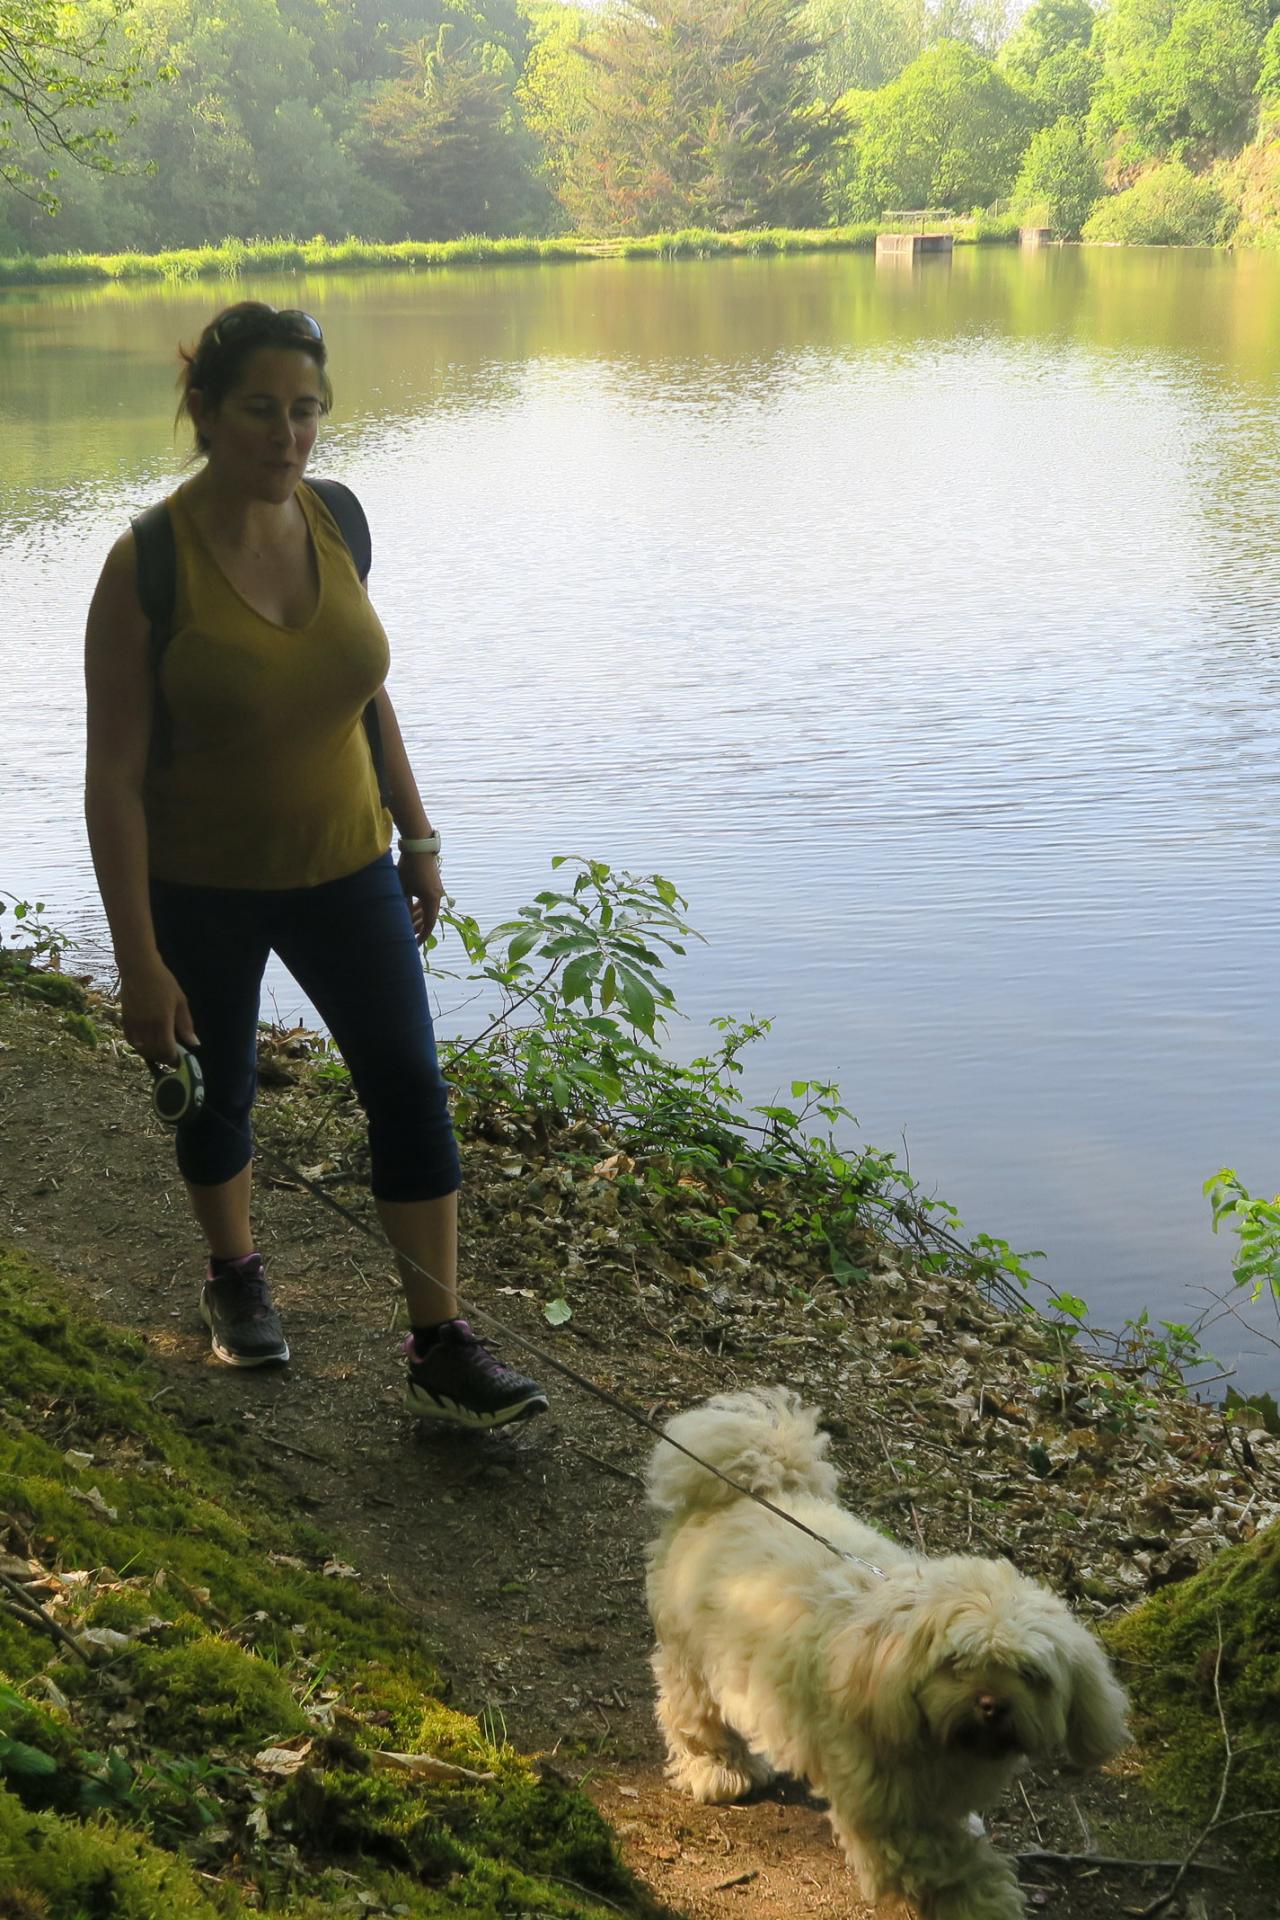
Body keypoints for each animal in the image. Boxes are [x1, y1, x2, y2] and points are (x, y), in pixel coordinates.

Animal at [644, 1397, 1128, 1920]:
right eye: (955, 1663)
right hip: (694, 1656)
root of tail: (746, 1492)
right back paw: (717, 1768)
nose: (992, 1704)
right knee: (691, 1713)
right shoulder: (887, 1811)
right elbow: (944, 1865)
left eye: (1030, 1674)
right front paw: (980, 1901)